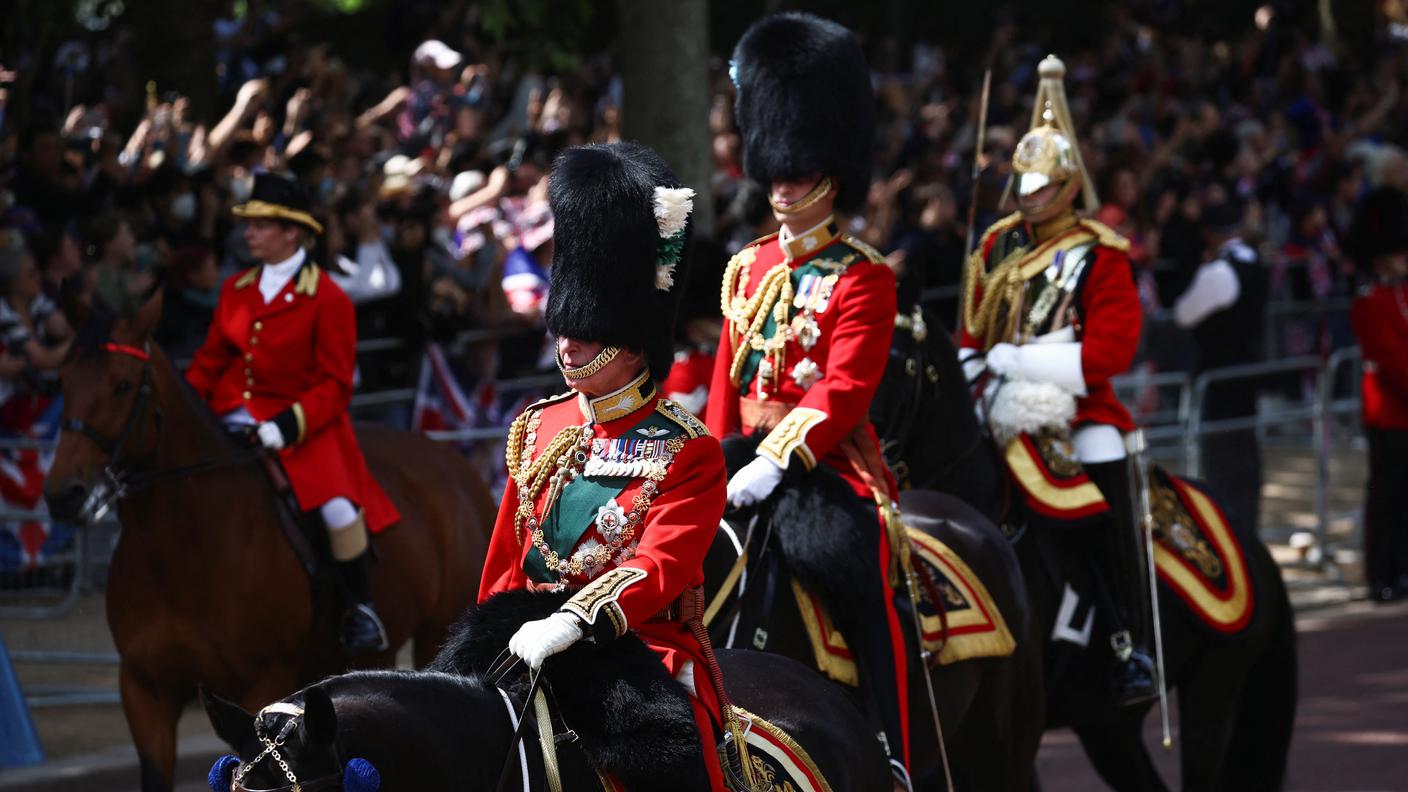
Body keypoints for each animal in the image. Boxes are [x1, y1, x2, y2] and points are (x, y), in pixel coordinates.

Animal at [44, 291, 498, 789]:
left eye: (123, 385)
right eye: (62, 380)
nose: (64, 494)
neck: (181, 550)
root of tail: (448, 457)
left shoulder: (261, 680)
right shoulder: (144, 690)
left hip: (434, 631)